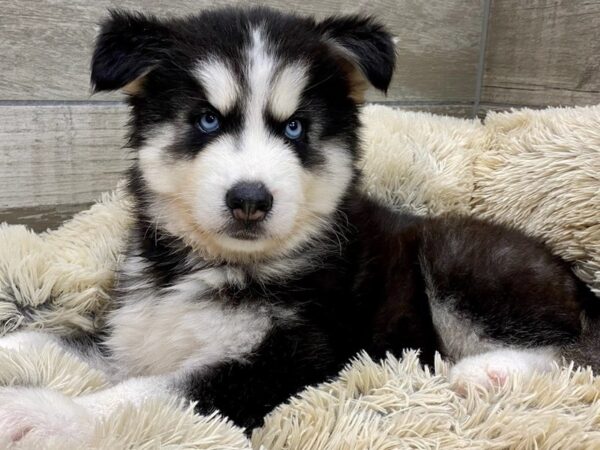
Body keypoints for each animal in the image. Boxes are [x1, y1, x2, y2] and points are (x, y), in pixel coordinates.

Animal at [1, 6, 600, 442]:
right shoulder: (132, 337)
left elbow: (153, 394)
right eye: (207, 120)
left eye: (294, 128)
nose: (250, 200)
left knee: (573, 349)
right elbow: (49, 340)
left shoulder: (292, 362)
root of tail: (575, 280)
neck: (209, 266)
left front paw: (40, 412)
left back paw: (487, 371)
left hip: (460, 259)